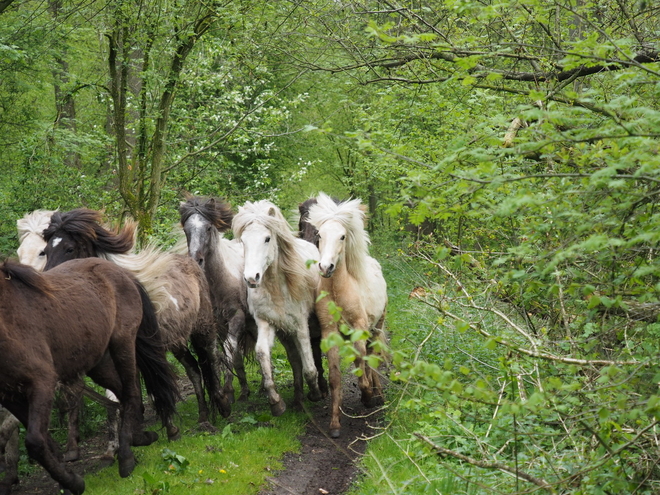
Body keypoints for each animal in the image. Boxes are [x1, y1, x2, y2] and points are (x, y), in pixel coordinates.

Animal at [0, 258, 179, 495]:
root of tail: (120, 272)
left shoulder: (42, 383)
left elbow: (35, 442)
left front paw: (74, 483)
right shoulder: (10, 396)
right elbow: (46, 442)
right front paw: (66, 479)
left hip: (122, 344)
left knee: (131, 392)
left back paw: (126, 457)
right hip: (98, 363)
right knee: (124, 395)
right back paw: (139, 438)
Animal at [42, 211, 231, 436]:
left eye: (69, 248)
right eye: (45, 251)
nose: (47, 284)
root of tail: (192, 262)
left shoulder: (148, 351)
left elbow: (157, 382)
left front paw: (170, 428)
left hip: (203, 327)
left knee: (211, 357)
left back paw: (223, 405)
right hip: (176, 341)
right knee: (193, 369)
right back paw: (203, 417)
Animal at [232, 200, 324, 416]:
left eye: (267, 238)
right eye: (243, 241)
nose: (251, 278)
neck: (277, 289)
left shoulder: (300, 325)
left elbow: (309, 366)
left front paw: (315, 393)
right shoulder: (266, 323)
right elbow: (262, 354)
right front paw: (276, 403)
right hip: (285, 333)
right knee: (294, 360)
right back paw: (298, 400)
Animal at [308, 193, 386, 438]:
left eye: (342, 236)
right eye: (319, 235)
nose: (326, 267)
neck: (338, 292)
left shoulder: (359, 330)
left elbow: (361, 372)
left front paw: (368, 398)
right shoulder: (330, 334)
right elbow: (335, 379)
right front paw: (334, 425)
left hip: (377, 327)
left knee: (373, 359)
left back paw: (378, 394)